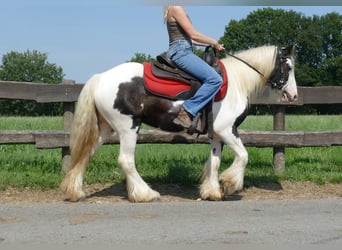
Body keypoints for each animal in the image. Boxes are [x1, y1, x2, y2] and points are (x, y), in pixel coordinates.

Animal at [60, 44, 296, 201]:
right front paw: (229, 184)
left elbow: (215, 162)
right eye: (289, 67)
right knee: (126, 160)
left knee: (86, 153)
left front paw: (212, 191)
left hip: (106, 129)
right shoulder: (228, 130)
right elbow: (244, 156)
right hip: (128, 127)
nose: (292, 95)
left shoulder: (217, 135)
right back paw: (145, 194)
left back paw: (75, 191)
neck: (237, 82)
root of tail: (101, 77)